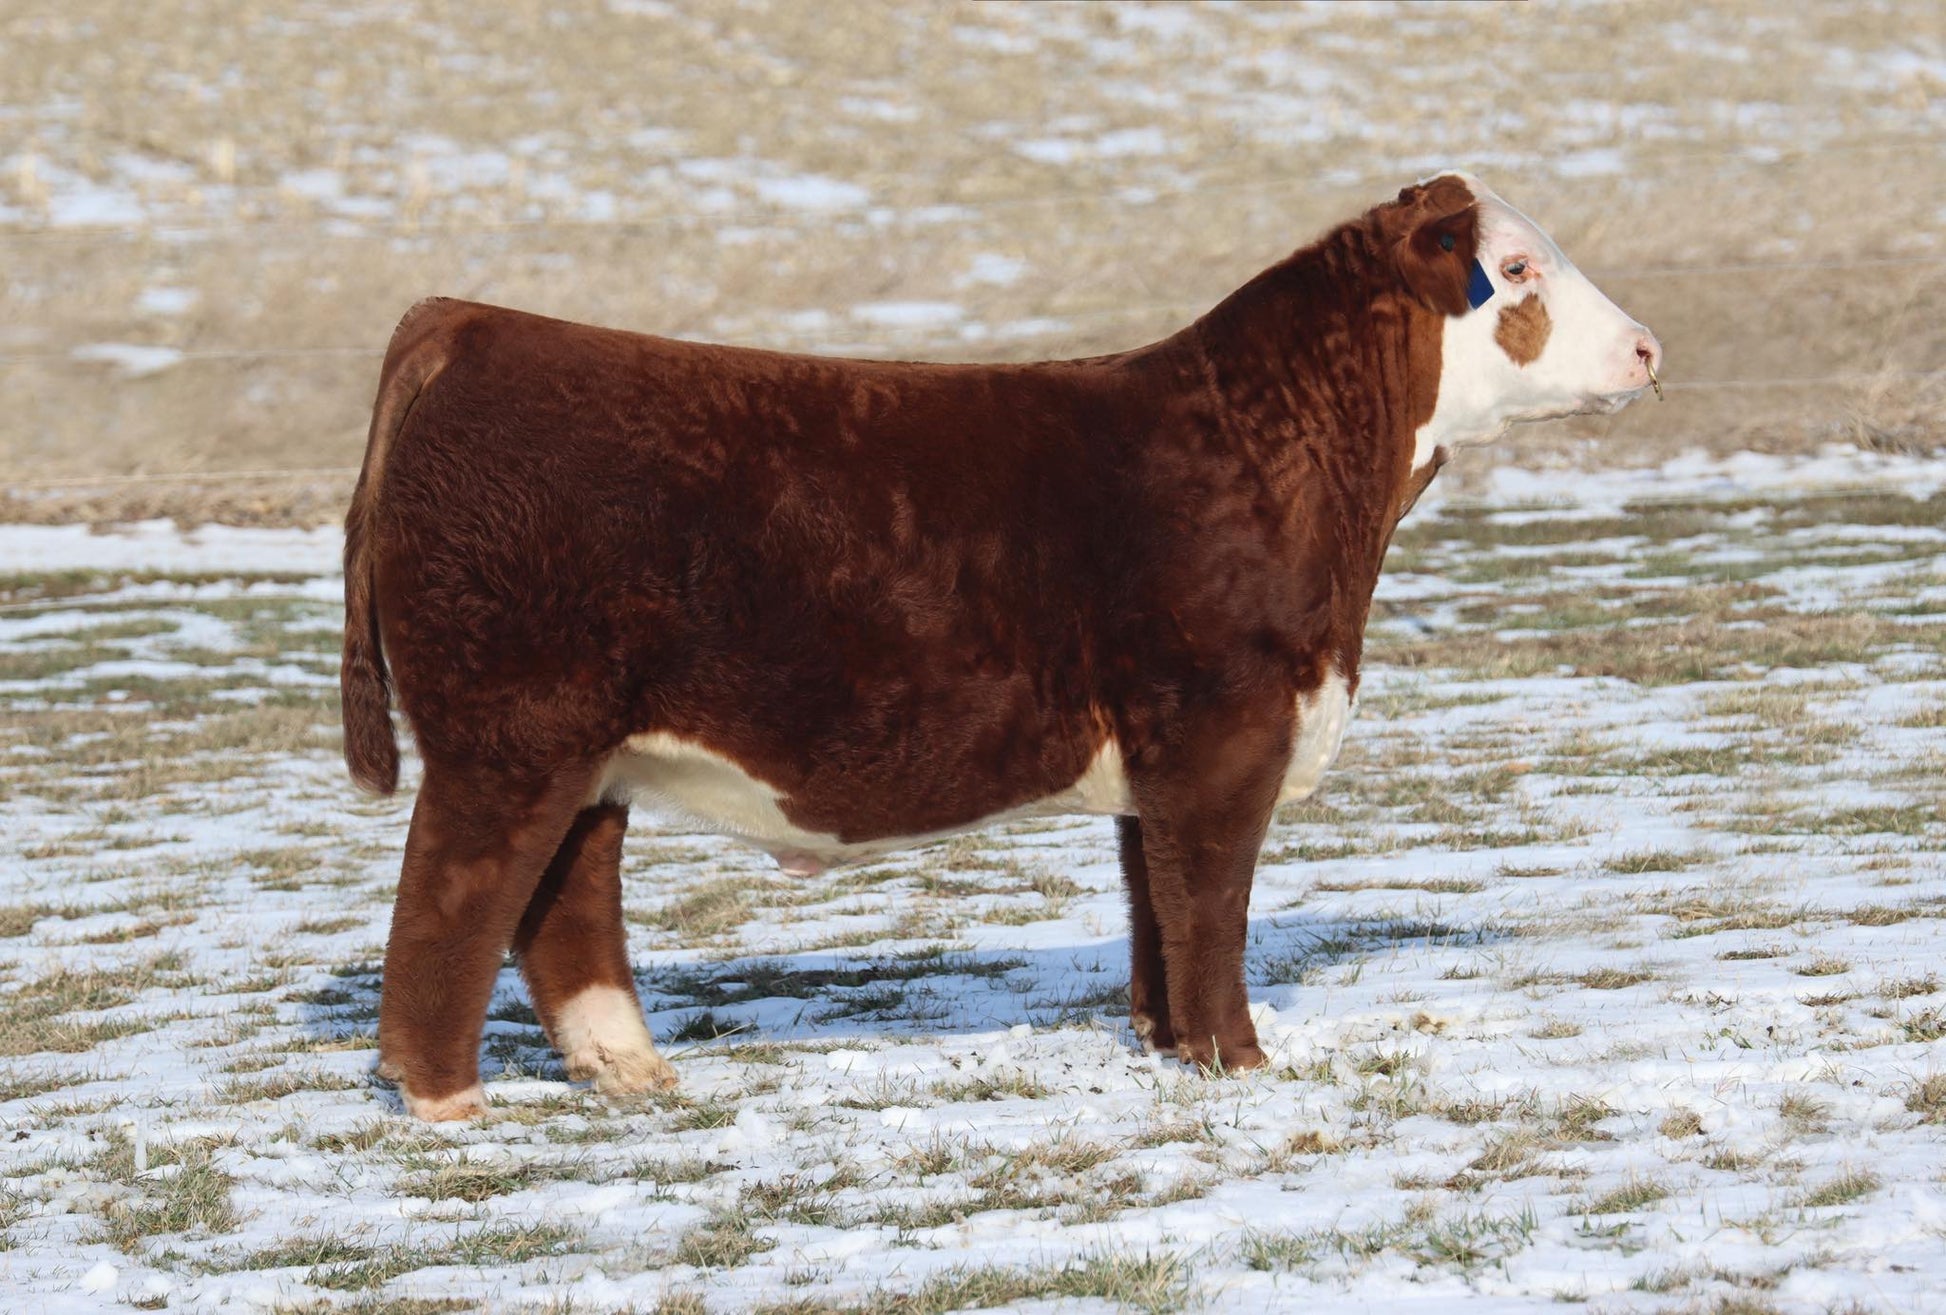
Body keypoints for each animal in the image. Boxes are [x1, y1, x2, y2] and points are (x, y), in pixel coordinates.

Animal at [340, 173, 1661, 1120]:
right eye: (1518, 268)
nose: (1648, 347)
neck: (1271, 449)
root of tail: (472, 325)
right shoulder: (1222, 731)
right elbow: (1210, 903)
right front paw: (1237, 1061)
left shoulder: (1163, 755)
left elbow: (1153, 901)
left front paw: (1165, 1042)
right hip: (510, 732)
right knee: (451, 897)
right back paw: (447, 1099)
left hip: (582, 745)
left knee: (564, 893)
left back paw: (630, 1071)